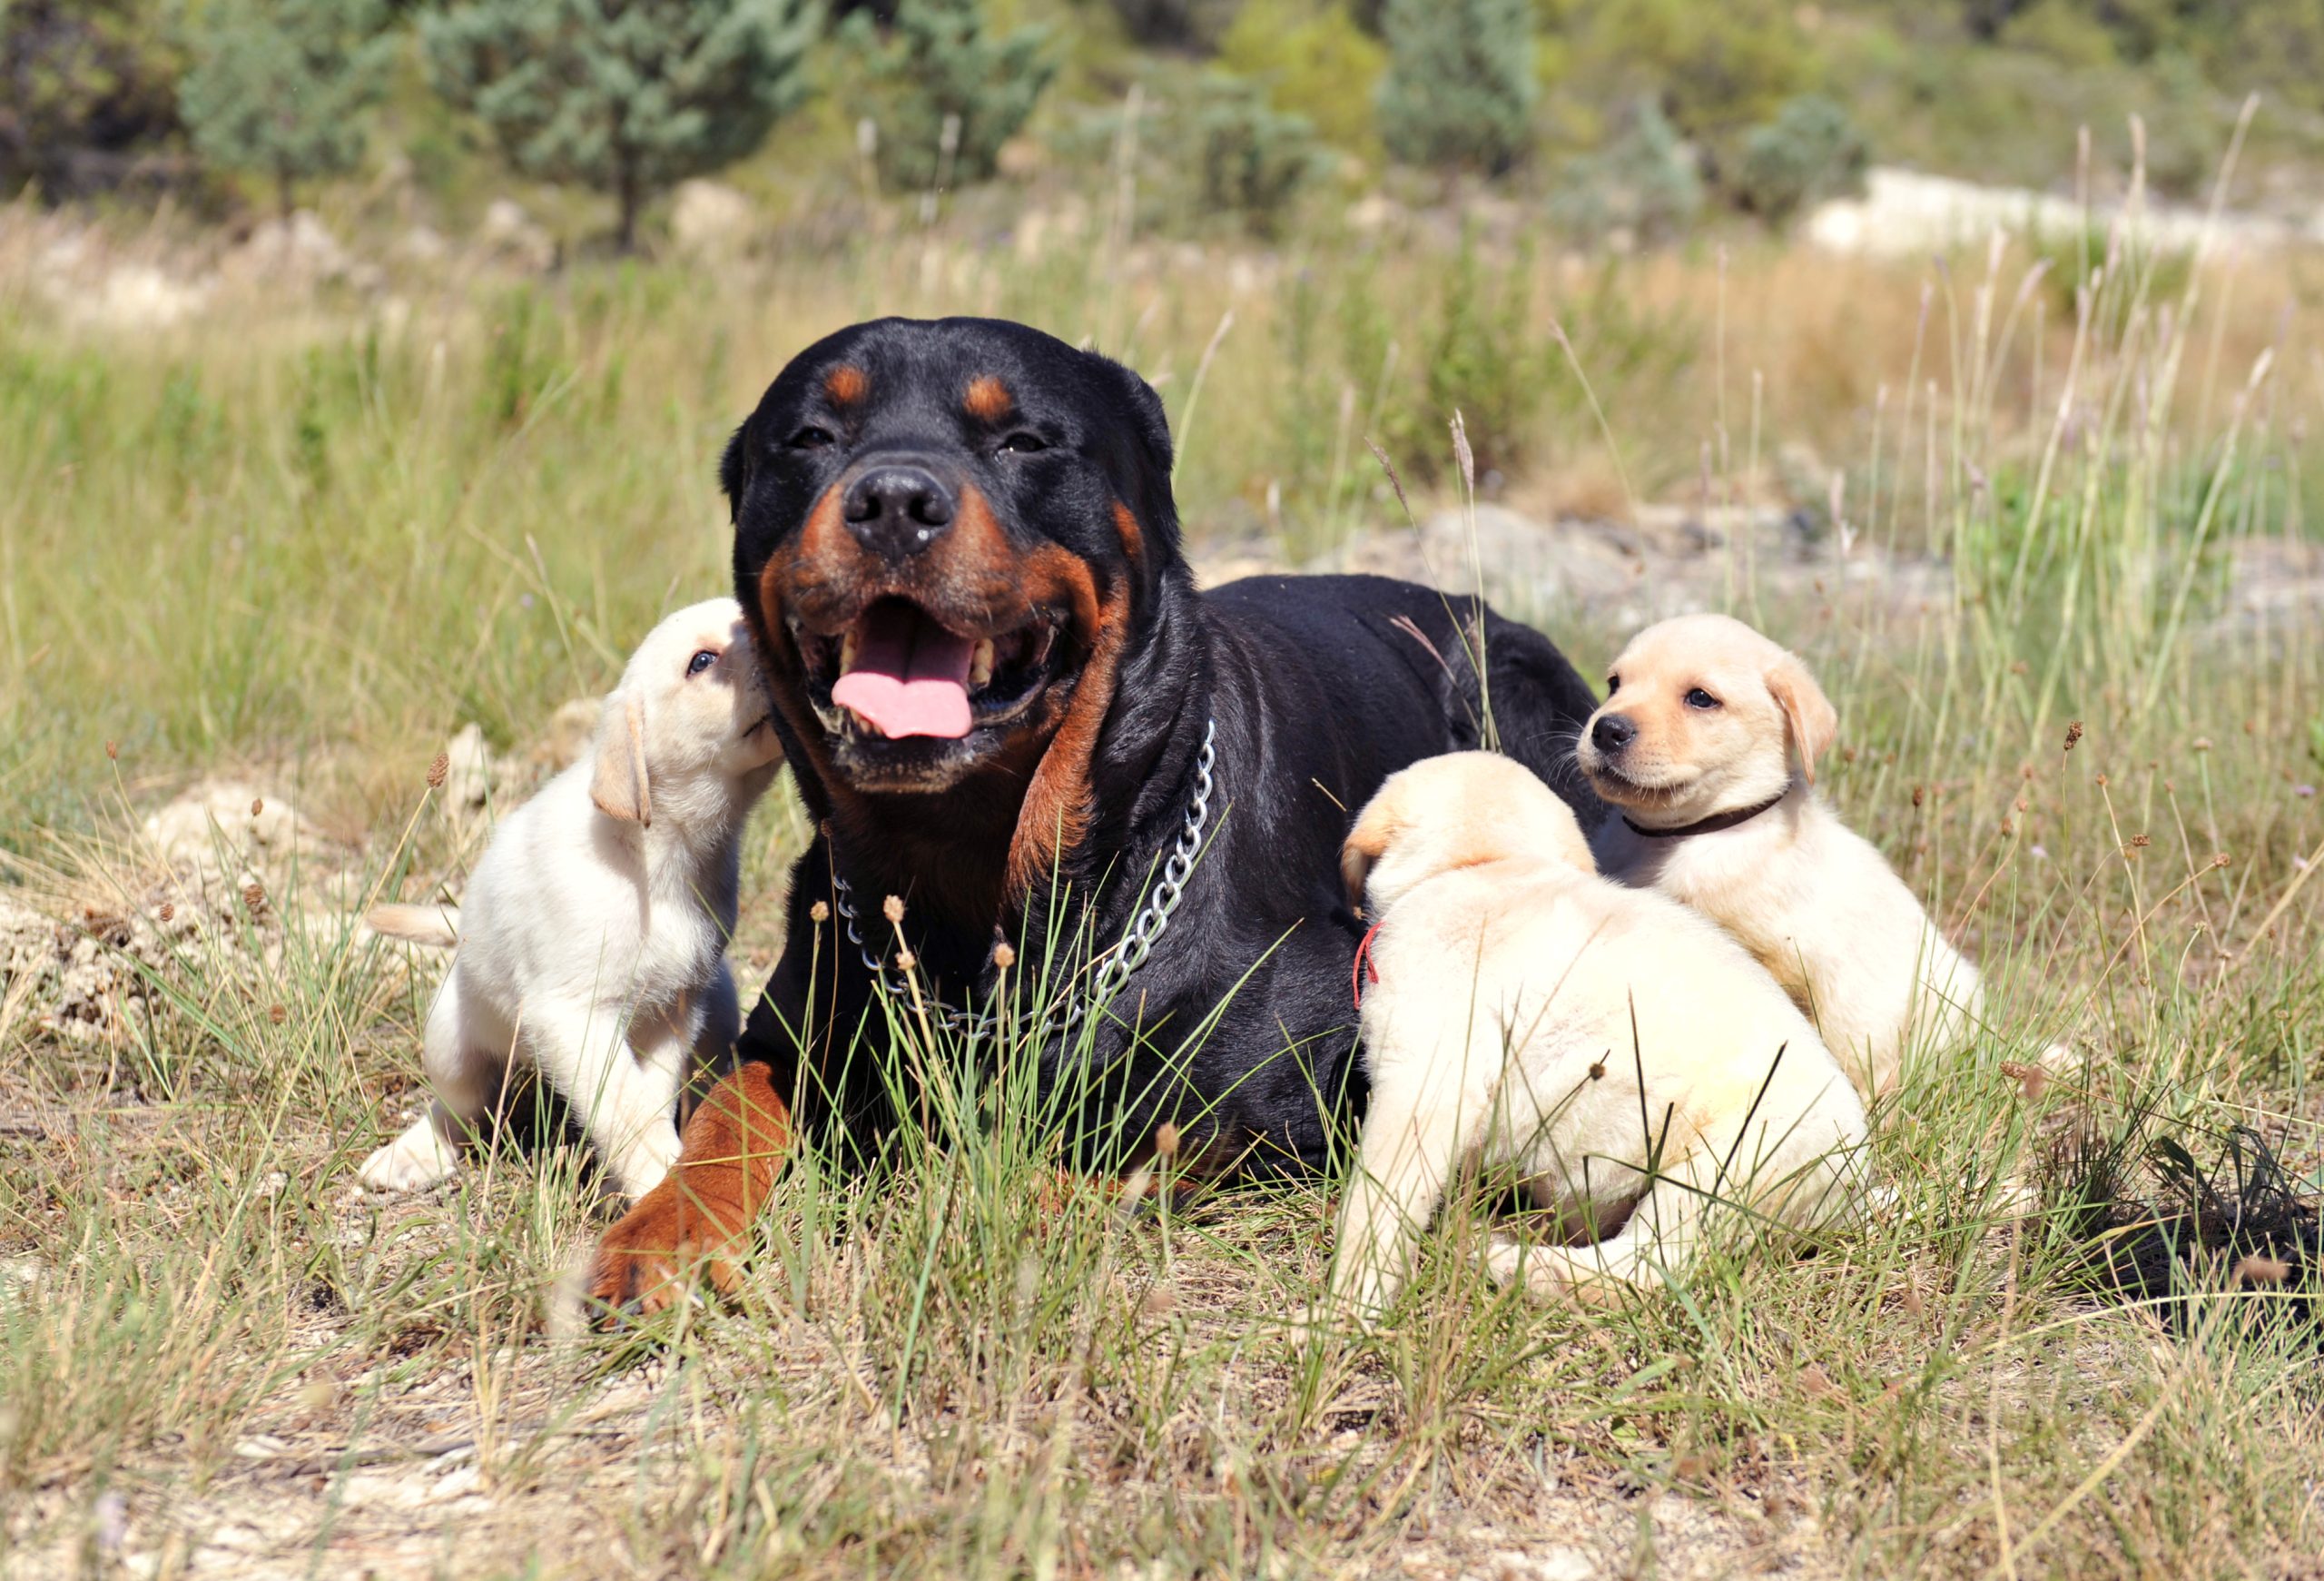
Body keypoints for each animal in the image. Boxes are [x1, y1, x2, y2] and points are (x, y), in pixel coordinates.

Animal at [359, 598, 783, 1199]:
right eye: (702, 661)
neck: (658, 854)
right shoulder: (572, 1014)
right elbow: (625, 1107)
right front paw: (658, 1177)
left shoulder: (672, 1010)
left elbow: (647, 1097)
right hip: (451, 1038)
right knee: (456, 1109)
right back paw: (414, 1155)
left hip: (719, 1007)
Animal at [583, 316, 1610, 1311]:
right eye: (809, 438)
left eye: (1024, 440)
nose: (893, 502)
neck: (974, 873)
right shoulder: (795, 1015)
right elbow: (728, 1111)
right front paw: (661, 1232)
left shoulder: (1304, 1075)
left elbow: (1072, 1162)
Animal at [1330, 752, 1869, 1314]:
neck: (1488, 864)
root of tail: (1853, 1187)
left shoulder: (1420, 1084)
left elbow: (1374, 1209)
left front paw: (1340, 1312)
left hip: (1716, 1171)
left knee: (1645, 1268)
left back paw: (1509, 1261)